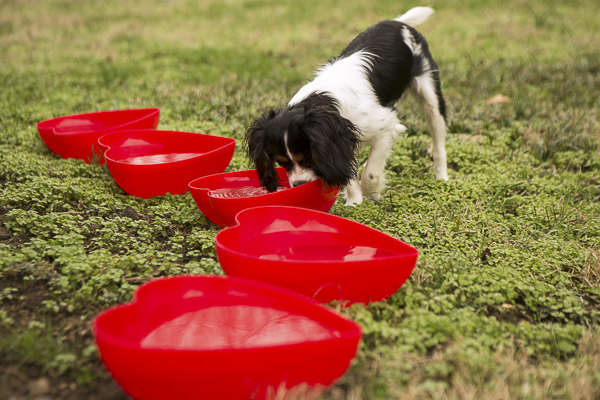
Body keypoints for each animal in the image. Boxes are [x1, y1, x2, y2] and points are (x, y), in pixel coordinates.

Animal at [244, 6, 446, 206]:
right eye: (282, 163)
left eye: (309, 158)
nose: (299, 184)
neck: (323, 101)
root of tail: (397, 22)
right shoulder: (343, 139)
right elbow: (348, 171)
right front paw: (355, 202)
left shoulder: (386, 127)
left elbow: (370, 173)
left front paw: (372, 195)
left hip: (430, 96)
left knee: (438, 142)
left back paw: (442, 179)